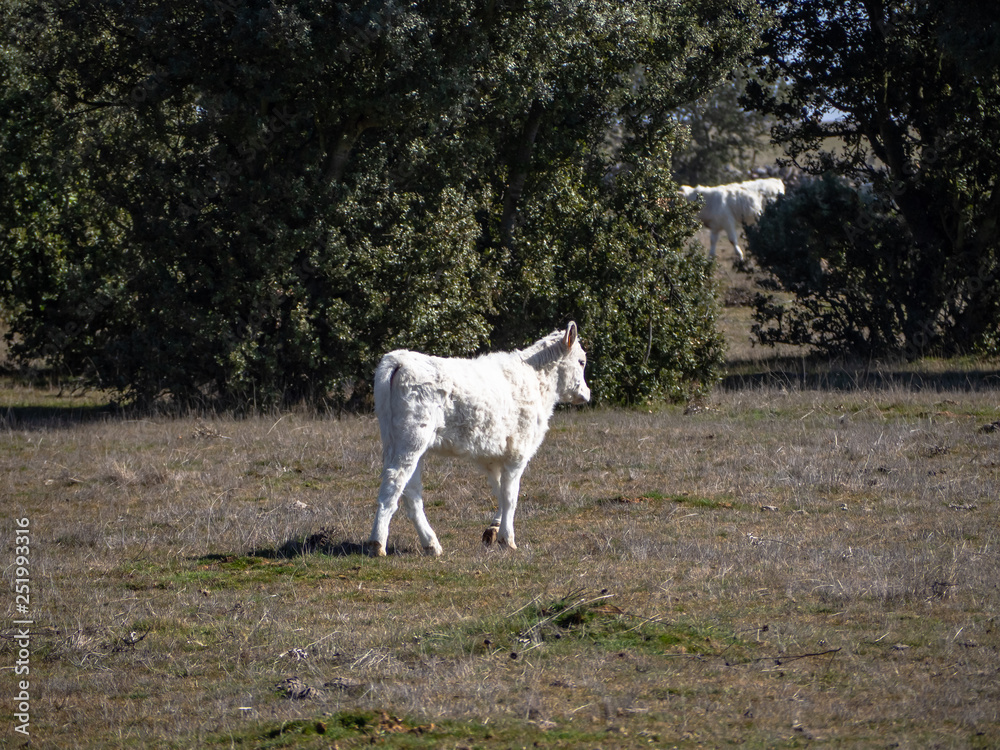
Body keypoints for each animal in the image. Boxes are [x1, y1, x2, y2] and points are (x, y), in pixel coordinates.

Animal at [366, 322, 590, 557]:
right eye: (581, 361)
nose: (587, 393)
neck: (537, 381)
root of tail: (400, 358)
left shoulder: (493, 455)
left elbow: (500, 490)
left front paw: (493, 529)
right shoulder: (518, 451)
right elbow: (510, 496)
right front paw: (507, 539)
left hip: (397, 442)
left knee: (411, 492)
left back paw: (431, 544)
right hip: (411, 439)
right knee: (394, 483)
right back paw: (377, 543)